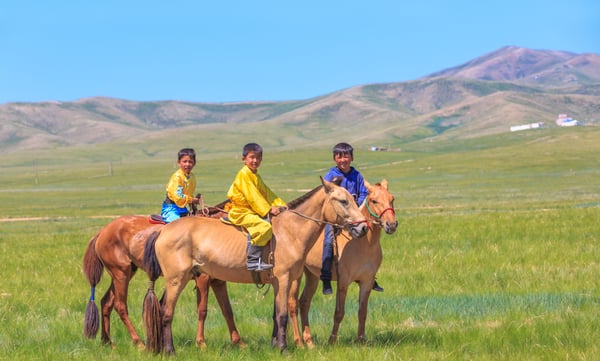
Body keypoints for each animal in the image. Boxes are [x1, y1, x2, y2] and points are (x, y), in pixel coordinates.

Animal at [81, 205, 243, 348]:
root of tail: (102, 232)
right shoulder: (203, 280)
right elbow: (202, 310)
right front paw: (201, 343)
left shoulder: (218, 282)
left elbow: (227, 310)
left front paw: (238, 342)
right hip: (121, 274)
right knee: (120, 306)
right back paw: (138, 343)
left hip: (123, 274)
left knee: (106, 302)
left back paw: (107, 342)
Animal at [142, 177, 368, 352]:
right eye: (343, 201)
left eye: (353, 198)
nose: (363, 228)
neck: (290, 232)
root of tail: (163, 231)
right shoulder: (284, 279)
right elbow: (283, 315)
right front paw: (284, 348)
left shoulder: (281, 282)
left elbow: (277, 314)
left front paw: (277, 344)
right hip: (176, 280)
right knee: (166, 312)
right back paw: (170, 350)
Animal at [290, 179, 398, 348]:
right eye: (374, 200)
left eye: (391, 199)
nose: (391, 225)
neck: (364, 243)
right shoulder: (343, 282)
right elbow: (339, 313)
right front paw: (332, 341)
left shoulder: (366, 283)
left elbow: (362, 313)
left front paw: (361, 340)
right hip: (297, 275)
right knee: (293, 304)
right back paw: (299, 342)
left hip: (312, 276)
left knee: (304, 302)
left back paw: (309, 341)